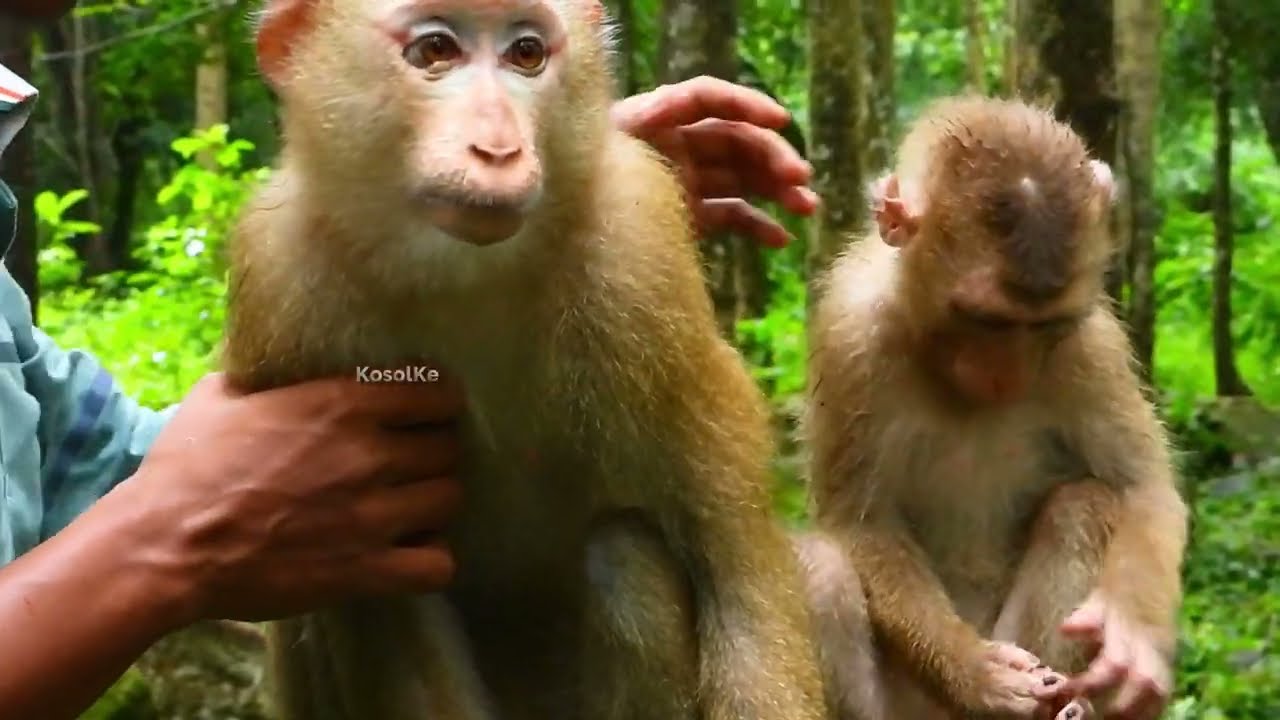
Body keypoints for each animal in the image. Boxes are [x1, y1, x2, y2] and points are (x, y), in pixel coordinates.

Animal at [797, 96, 1189, 720]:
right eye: (984, 320)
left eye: (1044, 326)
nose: (1006, 378)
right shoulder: (850, 333)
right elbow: (862, 524)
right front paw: (978, 675)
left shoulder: (1089, 345)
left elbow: (1142, 488)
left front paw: (1133, 638)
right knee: (821, 568)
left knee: (1083, 505)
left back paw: (1070, 708)